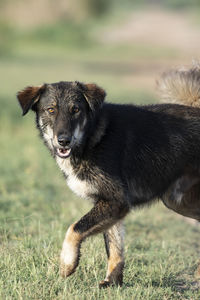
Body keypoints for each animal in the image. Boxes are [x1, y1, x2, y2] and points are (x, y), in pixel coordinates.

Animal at [16, 64, 200, 288]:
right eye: (51, 110)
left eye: (75, 110)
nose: (63, 140)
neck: (93, 137)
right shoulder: (110, 203)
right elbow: (114, 246)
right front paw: (112, 282)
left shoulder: (116, 200)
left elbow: (74, 228)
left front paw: (67, 263)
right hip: (176, 199)